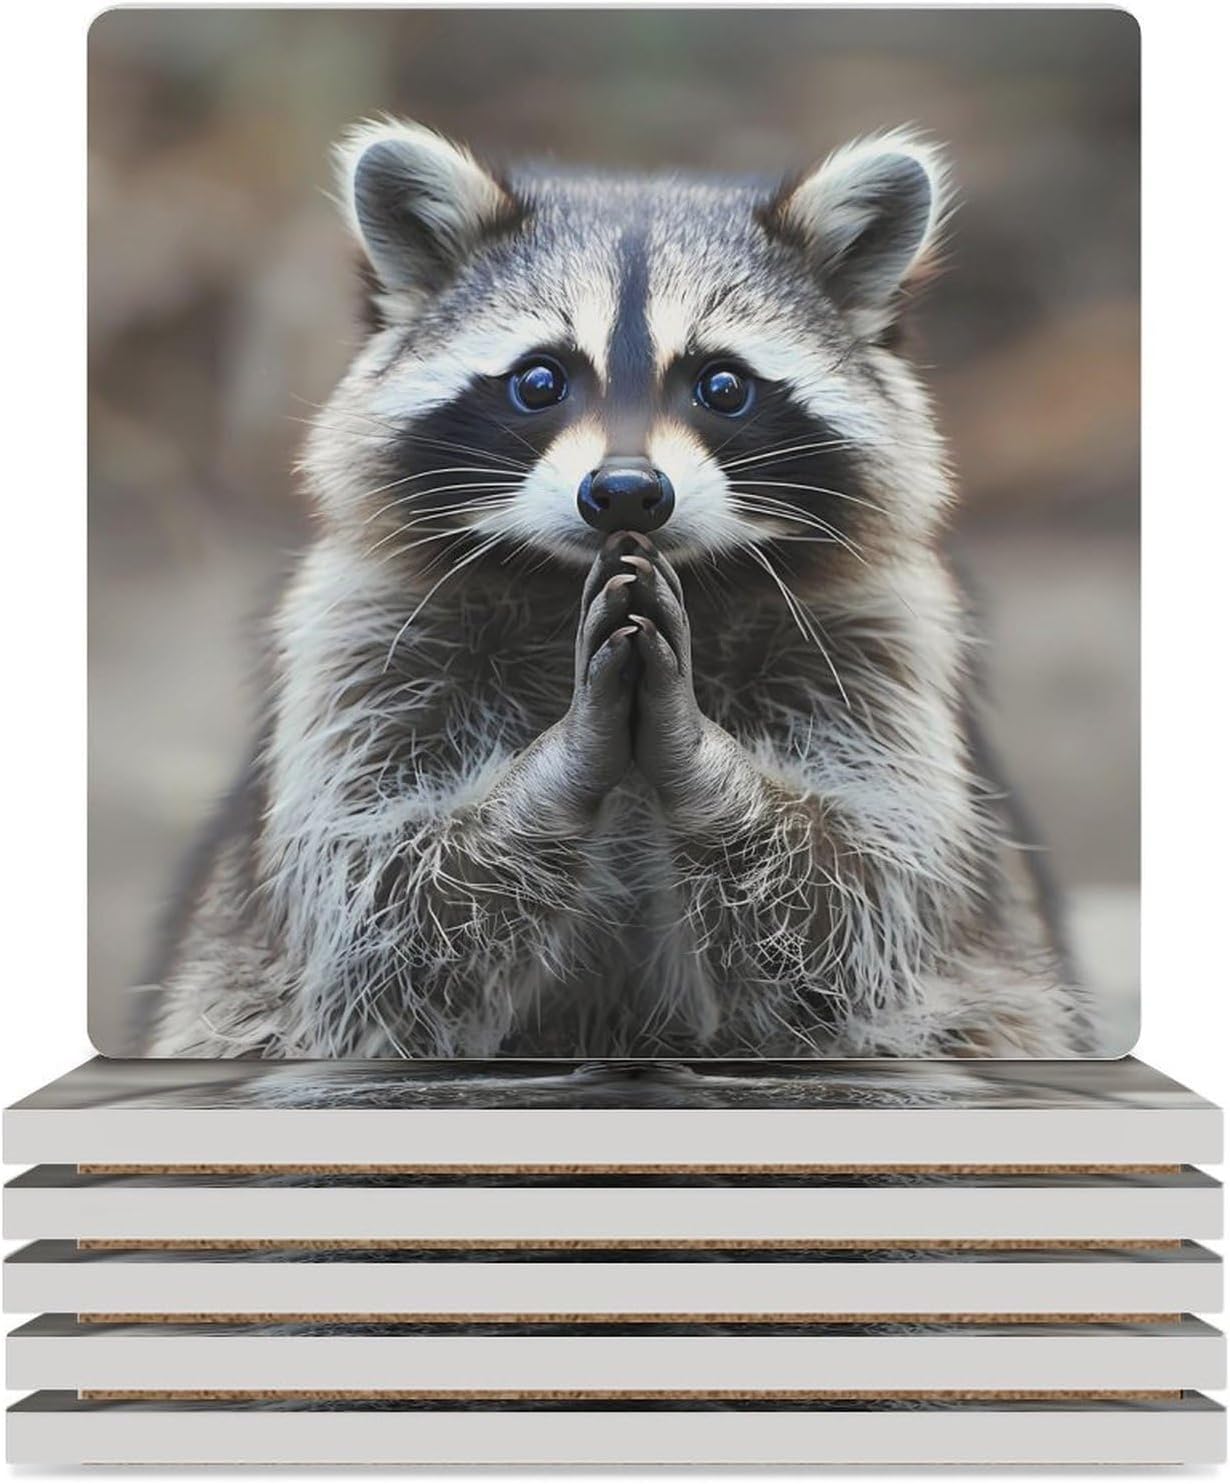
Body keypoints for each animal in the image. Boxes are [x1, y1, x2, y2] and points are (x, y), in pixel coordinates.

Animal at [142, 119, 1087, 1059]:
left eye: (721, 385)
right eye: (540, 380)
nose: (627, 492)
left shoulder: (874, 642)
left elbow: (862, 905)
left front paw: (700, 759)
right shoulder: (366, 632)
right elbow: (372, 905)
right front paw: (558, 766)